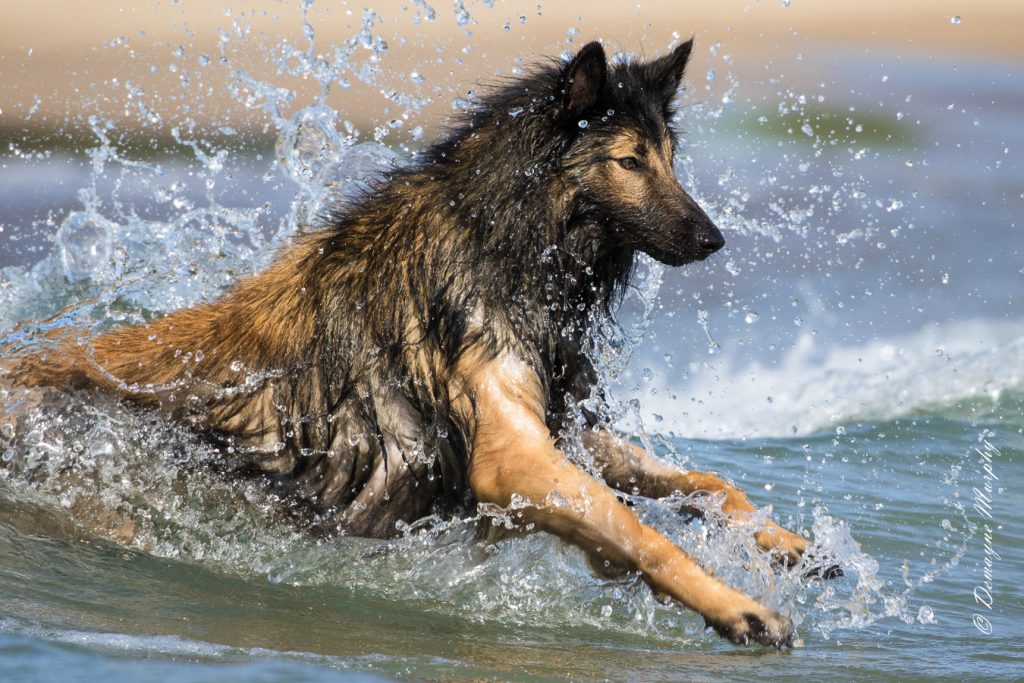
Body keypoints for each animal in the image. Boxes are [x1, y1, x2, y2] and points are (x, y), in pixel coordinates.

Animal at [0, 40, 827, 651]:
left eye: (670, 159)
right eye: (629, 161)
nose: (714, 239)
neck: (503, 235)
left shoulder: (560, 427)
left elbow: (706, 481)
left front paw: (786, 542)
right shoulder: (511, 456)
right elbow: (642, 533)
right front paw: (741, 609)